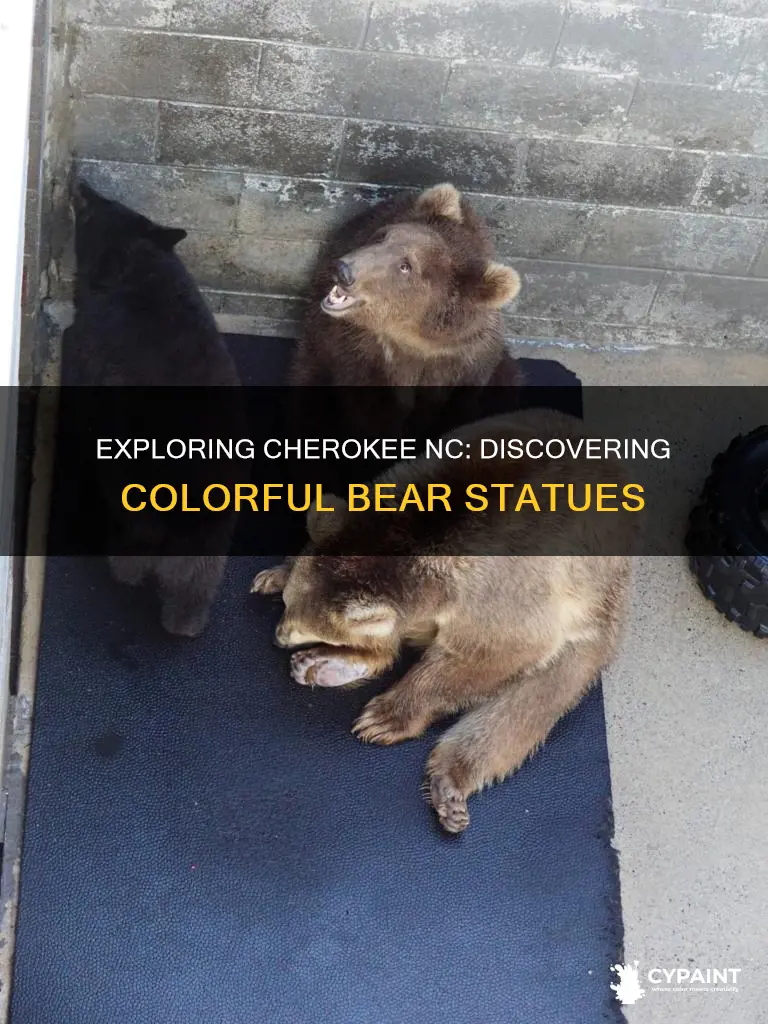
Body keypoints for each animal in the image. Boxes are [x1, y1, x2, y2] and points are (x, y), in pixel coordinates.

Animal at [64, 180, 245, 637]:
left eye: (93, 210)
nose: (80, 182)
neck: (138, 263)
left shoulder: (87, 349)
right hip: (210, 532)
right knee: (196, 577)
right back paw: (185, 621)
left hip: (132, 492)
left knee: (136, 542)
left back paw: (122, 569)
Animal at [251, 407, 634, 834]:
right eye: (288, 606)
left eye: (305, 626)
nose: (280, 636)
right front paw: (274, 576)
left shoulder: (504, 589)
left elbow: (493, 652)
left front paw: (384, 715)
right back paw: (320, 666)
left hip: (592, 613)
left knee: (531, 702)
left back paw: (449, 784)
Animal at [289, 183, 523, 443]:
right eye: (383, 236)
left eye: (406, 266)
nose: (343, 270)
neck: (414, 339)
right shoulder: (360, 353)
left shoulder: (464, 365)